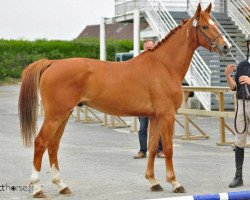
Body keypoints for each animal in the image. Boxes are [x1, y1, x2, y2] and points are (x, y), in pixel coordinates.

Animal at [18, 3, 231, 198]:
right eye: (205, 26)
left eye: (215, 23)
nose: (226, 47)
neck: (164, 65)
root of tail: (52, 63)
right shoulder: (167, 115)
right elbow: (169, 148)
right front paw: (175, 183)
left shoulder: (155, 117)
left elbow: (152, 148)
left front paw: (153, 181)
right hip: (55, 115)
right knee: (41, 143)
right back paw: (37, 188)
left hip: (64, 115)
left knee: (53, 145)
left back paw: (62, 185)